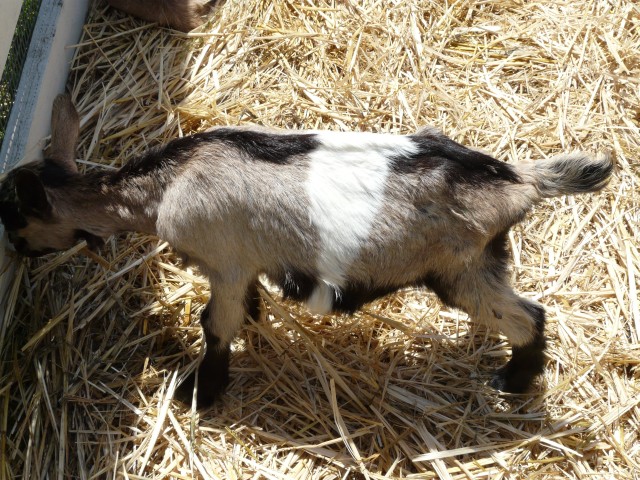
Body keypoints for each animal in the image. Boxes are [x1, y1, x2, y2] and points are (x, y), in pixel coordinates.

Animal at [0, 94, 613, 408]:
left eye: (15, 215)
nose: (16, 249)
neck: (164, 186)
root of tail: (518, 179)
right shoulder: (240, 266)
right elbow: (242, 307)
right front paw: (253, 320)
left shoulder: (225, 264)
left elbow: (214, 326)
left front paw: (201, 393)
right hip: (481, 263)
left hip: (459, 269)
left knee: (529, 316)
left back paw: (514, 381)